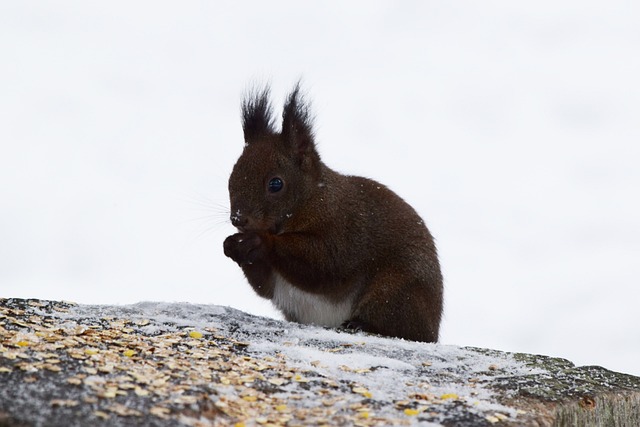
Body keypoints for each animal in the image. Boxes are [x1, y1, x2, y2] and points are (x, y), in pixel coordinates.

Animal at [222, 84, 442, 344]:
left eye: (276, 184)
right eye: (231, 178)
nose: (238, 218)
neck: (312, 200)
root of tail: (433, 329)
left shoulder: (344, 228)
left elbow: (325, 264)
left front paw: (260, 242)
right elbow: (264, 287)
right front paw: (232, 245)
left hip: (395, 290)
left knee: (403, 327)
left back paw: (361, 324)